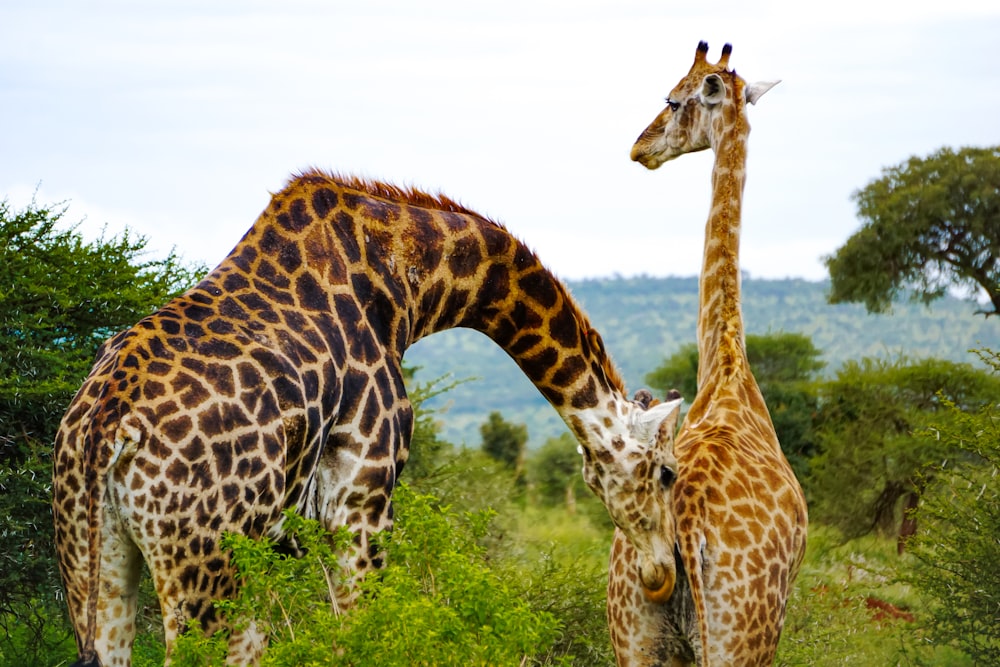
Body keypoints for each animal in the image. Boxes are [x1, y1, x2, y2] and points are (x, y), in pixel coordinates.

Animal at [52, 170, 680, 664]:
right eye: (667, 473)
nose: (663, 575)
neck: (406, 285)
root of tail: (105, 427)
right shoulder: (360, 501)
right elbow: (360, 636)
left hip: (96, 563)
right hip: (205, 570)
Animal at [604, 44, 808, 664]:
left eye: (673, 100)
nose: (640, 146)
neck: (725, 369)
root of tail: (689, 523)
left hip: (637, 631)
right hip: (741, 636)